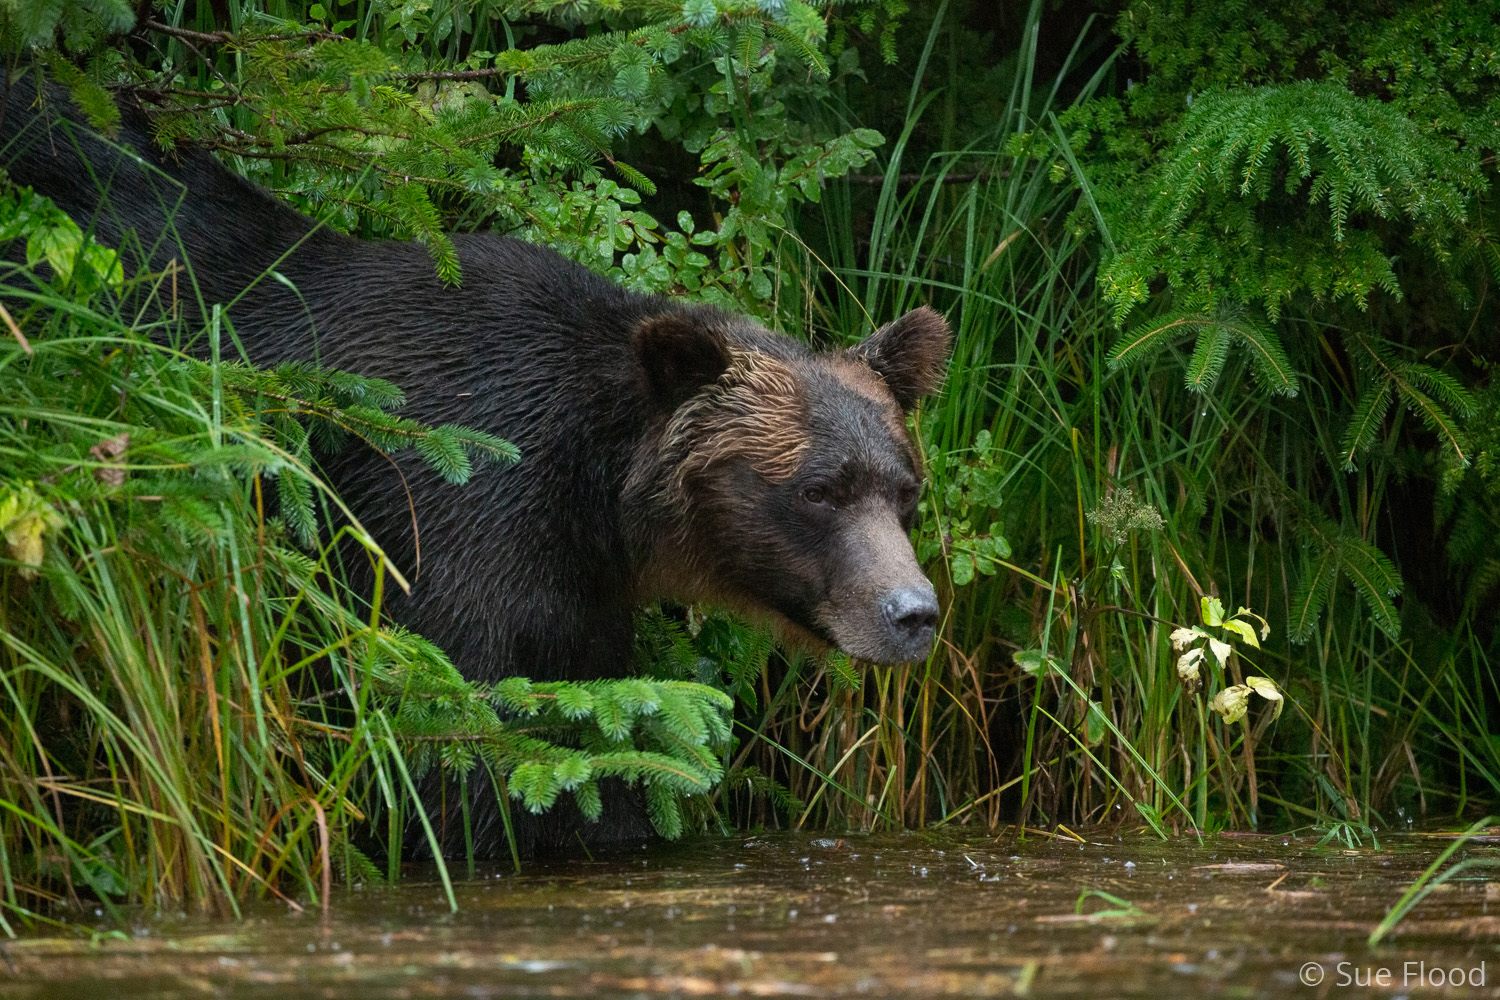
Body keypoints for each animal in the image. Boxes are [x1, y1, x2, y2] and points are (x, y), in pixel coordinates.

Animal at [2, 86, 948, 857]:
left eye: (903, 491)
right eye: (818, 491)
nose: (913, 613)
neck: (596, 495)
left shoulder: (579, 600)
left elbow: (592, 746)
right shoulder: (443, 518)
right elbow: (459, 752)